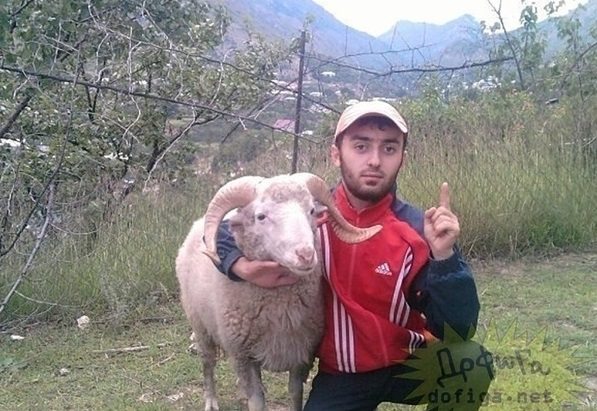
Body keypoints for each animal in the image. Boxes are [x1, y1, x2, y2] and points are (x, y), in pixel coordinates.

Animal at [175, 173, 381, 411]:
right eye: (261, 216)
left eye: (312, 210)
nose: (306, 255)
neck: (280, 308)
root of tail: (198, 223)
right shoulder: (245, 356)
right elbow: (257, 400)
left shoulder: (302, 352)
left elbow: (295, 392)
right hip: (200, 325)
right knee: (207, 363)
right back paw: (210, 400)